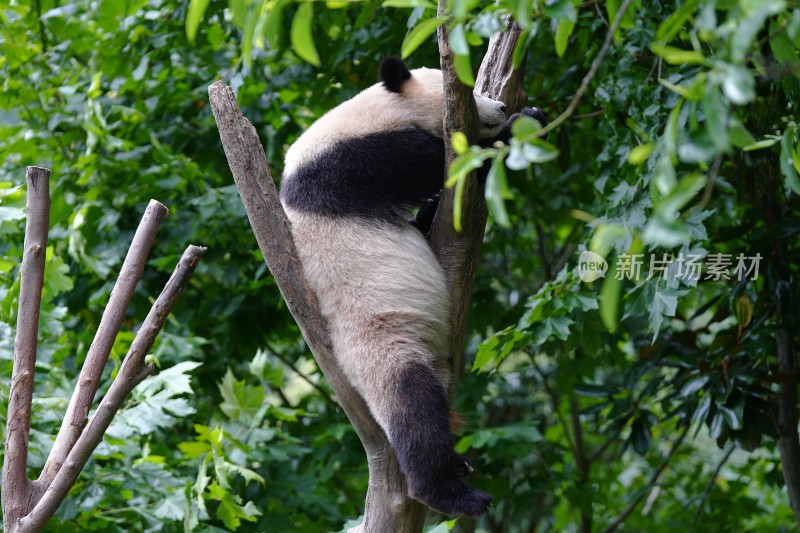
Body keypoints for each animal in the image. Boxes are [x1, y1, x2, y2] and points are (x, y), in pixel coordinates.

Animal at [282, 55, 536, 516]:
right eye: (469, 91)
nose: (500, 107)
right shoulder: (353, 162)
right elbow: (443, 166)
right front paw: (518, 126)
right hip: (381, 341)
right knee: (412, 404)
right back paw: (452, 494)